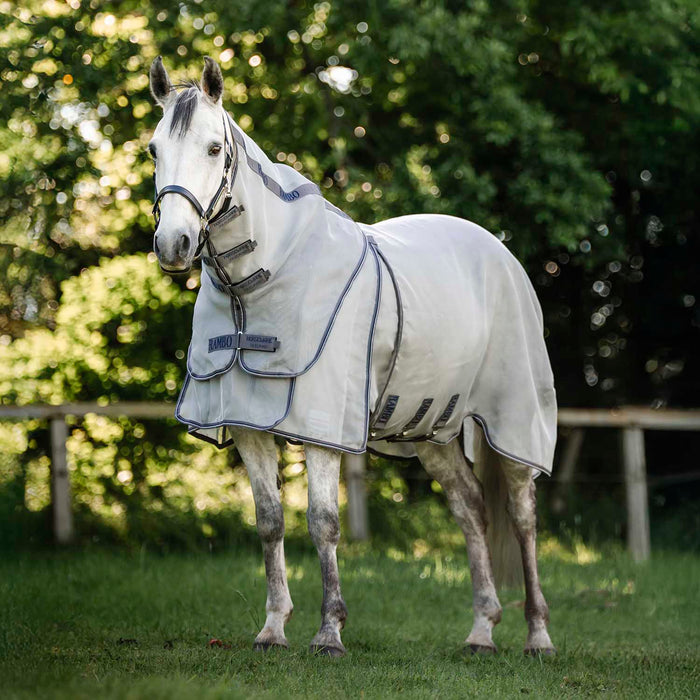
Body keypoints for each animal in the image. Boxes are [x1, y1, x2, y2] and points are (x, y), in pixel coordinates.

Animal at [147, 56, 557, 657]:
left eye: (214, 148)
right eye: (154, 148)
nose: (173, 244)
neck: (264, 278)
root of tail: (499, 253)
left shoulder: (322, 424)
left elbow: (322, 522)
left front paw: (329, 632)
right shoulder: (246, 423)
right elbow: (269, 521)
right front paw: (272, 629)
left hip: (515, 418)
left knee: (523, 517)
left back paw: (538, 635)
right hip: (431, 430)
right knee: (471, 508)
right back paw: (481, 631)